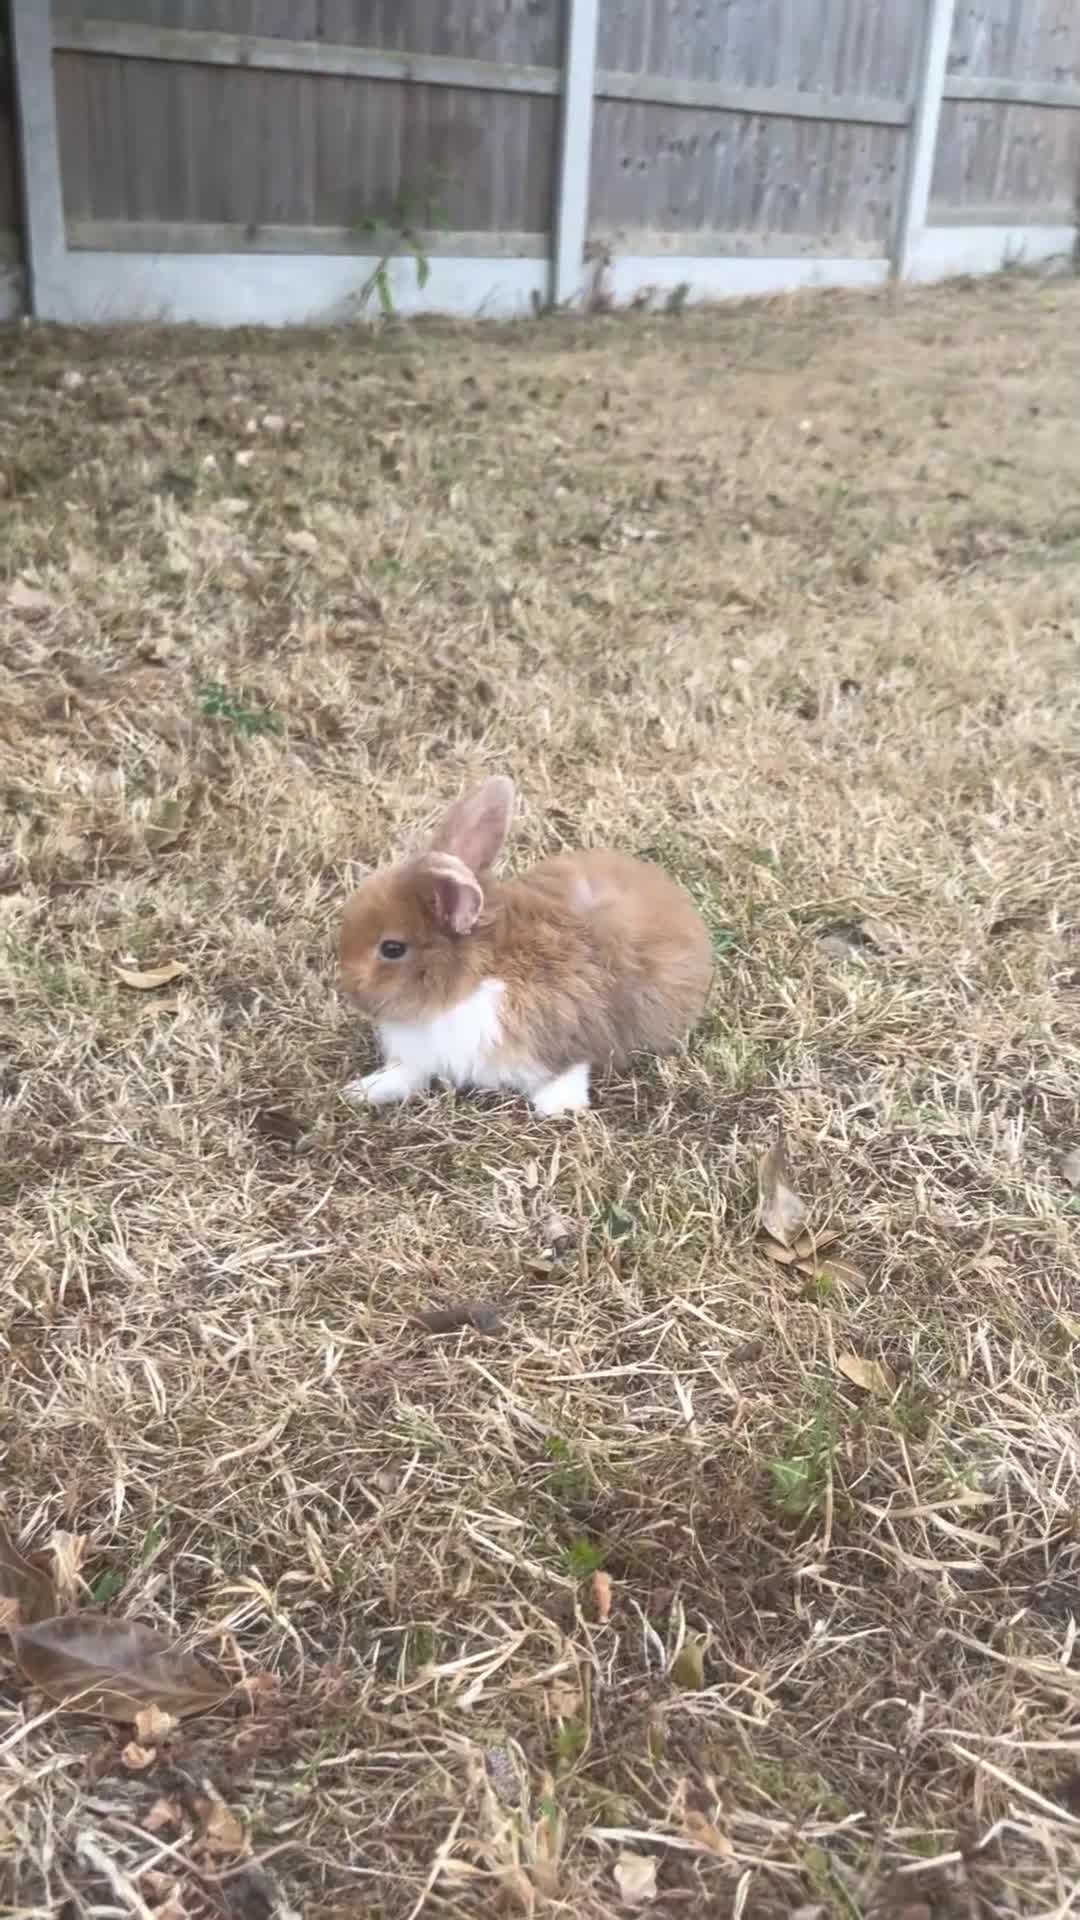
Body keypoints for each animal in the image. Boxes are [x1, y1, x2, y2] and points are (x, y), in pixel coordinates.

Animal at [338, 775, 713, 1115]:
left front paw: (557, 1106)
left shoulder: (566, 1029)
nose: (349, 991)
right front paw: (361, 1090)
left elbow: (571, 1066)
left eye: (392, 949)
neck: (470, 984)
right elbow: (407, 1074)